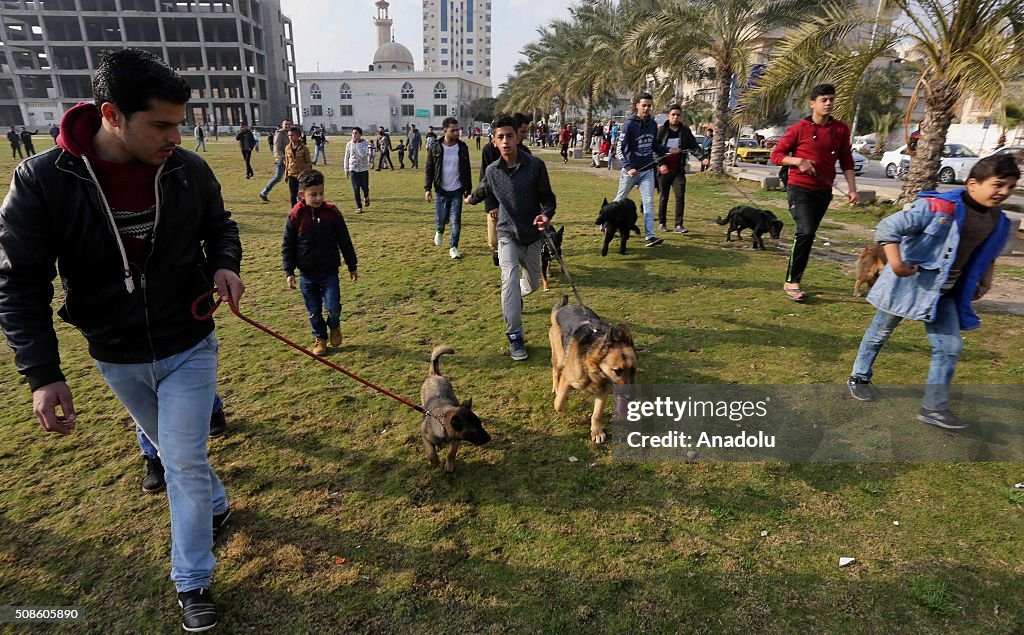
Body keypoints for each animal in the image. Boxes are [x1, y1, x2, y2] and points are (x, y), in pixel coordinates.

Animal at [548, 294, 634, 444]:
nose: (630, 397)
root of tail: (562, 308)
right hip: (559, 357)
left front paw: (596, 432)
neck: (593, 370)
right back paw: (556, 387)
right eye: (617, 371)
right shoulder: (567, 379)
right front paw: (561, 401)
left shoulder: (603, 391)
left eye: (633, 370)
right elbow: (558, 404)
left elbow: (597, 414)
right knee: (556, 371)